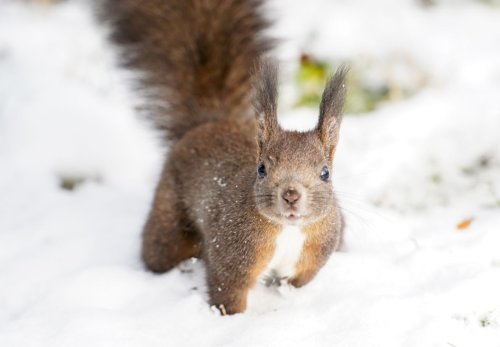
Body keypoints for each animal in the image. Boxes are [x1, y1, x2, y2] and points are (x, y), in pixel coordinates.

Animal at [104, 0, 348, 316]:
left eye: (325, 173)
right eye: (261, 169)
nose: (291, 195)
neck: (289, 231)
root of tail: (207, 124)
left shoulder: (315, 252)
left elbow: (299, 280)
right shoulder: (231, 253)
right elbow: (227, 291)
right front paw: (231, 319)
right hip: (168, 221)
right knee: (159, 250)